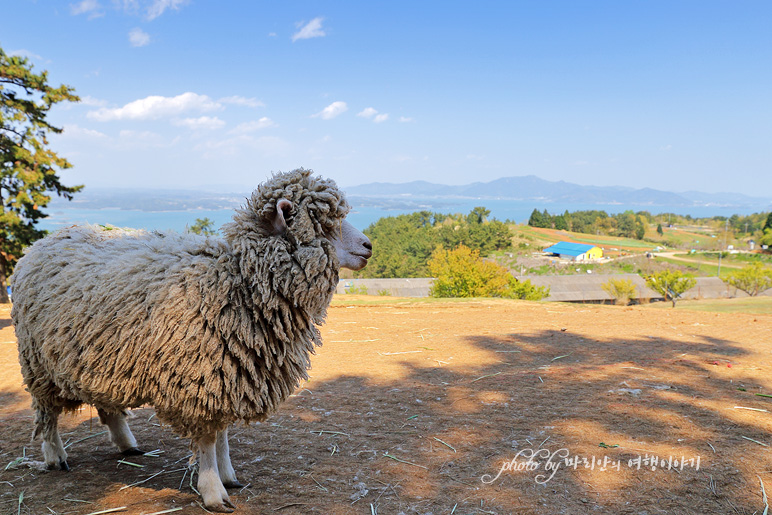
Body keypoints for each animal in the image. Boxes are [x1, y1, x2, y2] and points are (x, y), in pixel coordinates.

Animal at [11, 168, 374, 512]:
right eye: (323, 223)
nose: (369, 246)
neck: (237, 281)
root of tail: (42, 243)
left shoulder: (228, 372)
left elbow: (223, 434)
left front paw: (229, 477)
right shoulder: (199, 379)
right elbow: (208, 440)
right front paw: (213, 491)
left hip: (97, 357)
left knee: (106, 406)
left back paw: (128, 445)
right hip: (38, 364)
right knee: (47, 415)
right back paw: (55, 457)